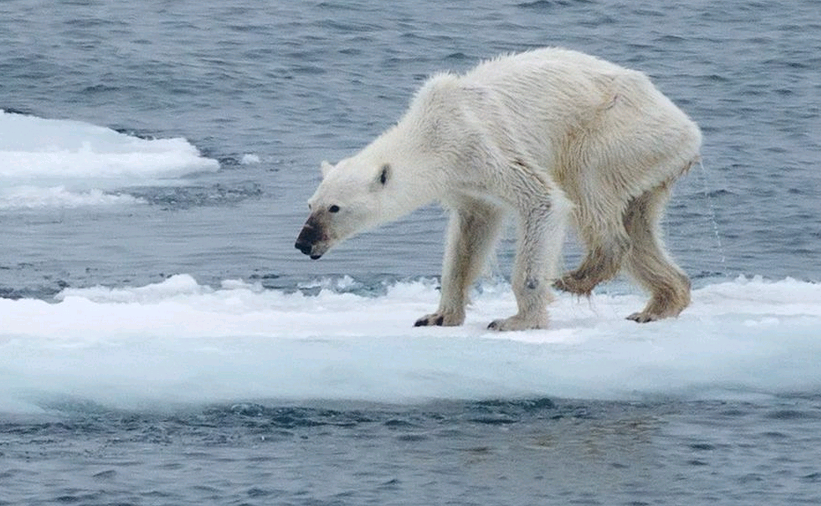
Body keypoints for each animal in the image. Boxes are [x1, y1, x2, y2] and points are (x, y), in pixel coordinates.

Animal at [294, 48, 700, 332]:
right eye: (310, 204)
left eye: (334, 208)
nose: (302, 243)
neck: (432, 132)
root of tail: (689, 129)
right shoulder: (464, 182)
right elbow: (470, 235)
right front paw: (438, 316)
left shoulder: (481, 145)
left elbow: (543, 200)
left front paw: (516, 320)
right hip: (649, 162)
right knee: (639, 225)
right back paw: (658, 305)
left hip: (618, 132)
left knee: (587, 185)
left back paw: (578, 276)